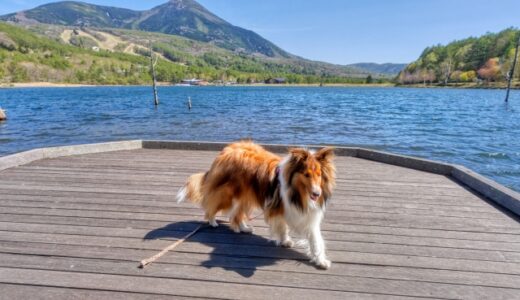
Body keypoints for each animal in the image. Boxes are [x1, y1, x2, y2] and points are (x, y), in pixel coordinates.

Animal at [177, 141, 336, 270]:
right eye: (306, 174)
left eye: (319, 174)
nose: (316, 193)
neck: (298, 193)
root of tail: (227, 149)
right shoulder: (277, 208)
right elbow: (283, 227)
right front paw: (285, 241)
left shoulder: (309, 217)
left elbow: (315, 240)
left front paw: (321, 261)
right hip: (227, 194)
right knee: (211, 205)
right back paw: (213, 222)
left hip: (245, 197)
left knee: (236, 214)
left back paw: (244, 228)